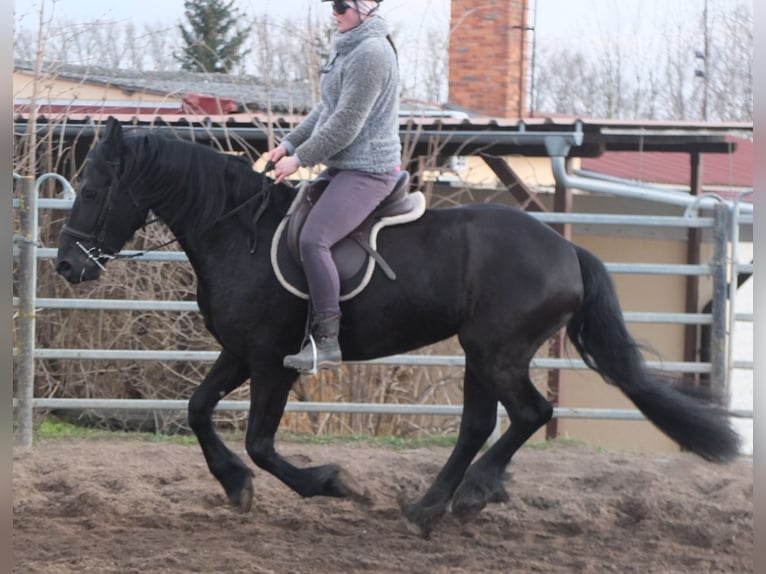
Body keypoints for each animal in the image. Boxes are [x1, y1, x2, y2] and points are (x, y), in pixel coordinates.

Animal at [57, 119, 740, 536]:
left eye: (90, 190)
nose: (66, 266)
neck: (236, 232)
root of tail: (566, 249)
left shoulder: (274, 360)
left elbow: (259, 442)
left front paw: (331, 483)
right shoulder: (240, 351)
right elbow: (199, 410)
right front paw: (235, 486)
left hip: (496, 351)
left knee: (527, 414)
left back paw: (467, 495)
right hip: (481, 353)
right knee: (479, 424)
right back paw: (432, 506)